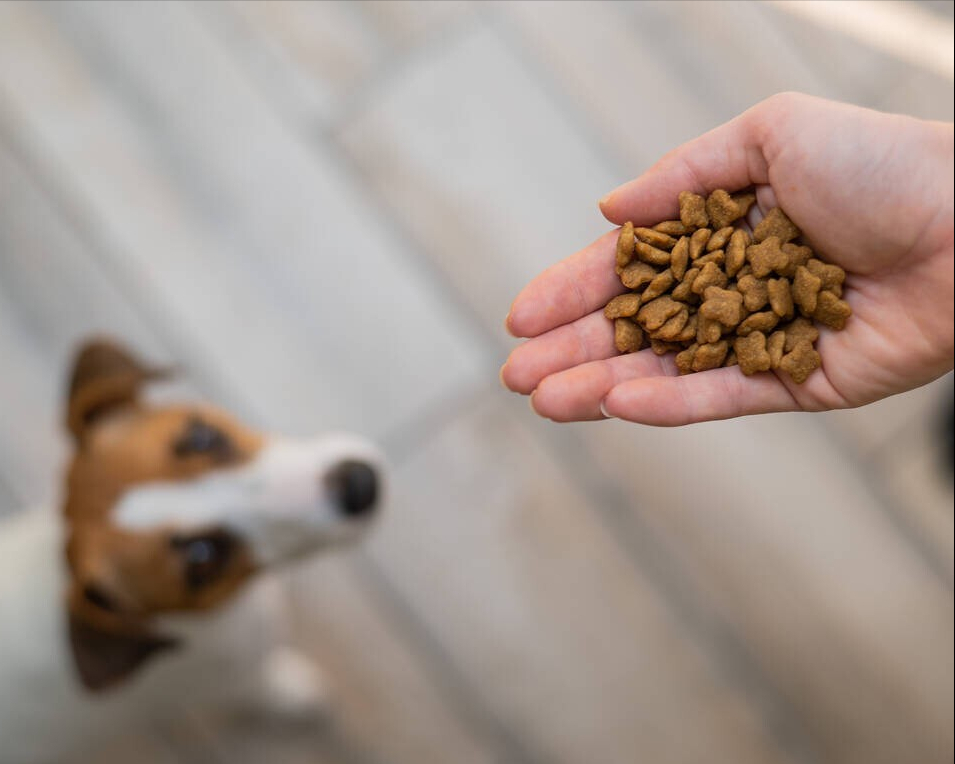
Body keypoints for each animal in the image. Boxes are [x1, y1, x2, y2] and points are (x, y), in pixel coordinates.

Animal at [1, 342, 388, 764]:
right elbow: (265, 687)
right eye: (203, 556)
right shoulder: (235, 676)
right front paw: (295, 692)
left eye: (203, 437)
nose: (360, 485)